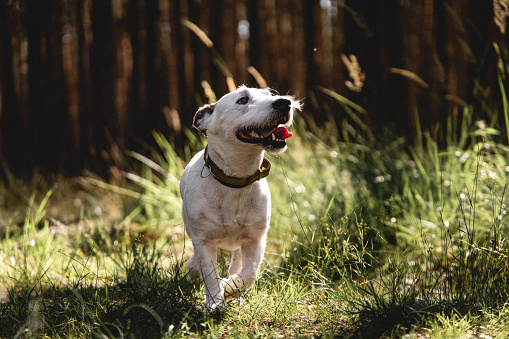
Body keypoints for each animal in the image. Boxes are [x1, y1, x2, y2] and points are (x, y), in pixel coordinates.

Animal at [180, 85, 300, 314]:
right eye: (243, 100)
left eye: (270, 95)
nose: (285, 102)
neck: (235, 181)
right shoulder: (203, 240)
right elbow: (210, 274)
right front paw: (215, 303)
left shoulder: (256, 239)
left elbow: (249, 274)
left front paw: (229, 287)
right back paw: (194, 269)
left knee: (237, 260)